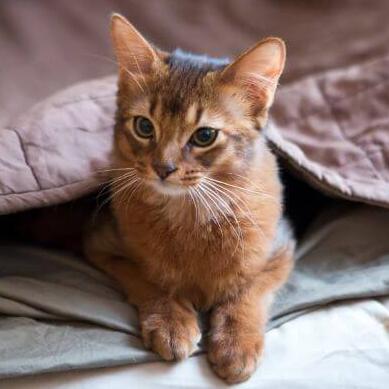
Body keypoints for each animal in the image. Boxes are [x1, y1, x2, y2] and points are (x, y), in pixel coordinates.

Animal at [83, 14, 292, 382]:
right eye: (144, 127)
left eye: (205, 135)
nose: (163, 168)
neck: (191, 214)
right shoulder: (102, 245)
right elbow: (145, 278)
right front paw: (171, 322)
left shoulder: (281, 249)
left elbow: (250, 290)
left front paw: (236, 342)